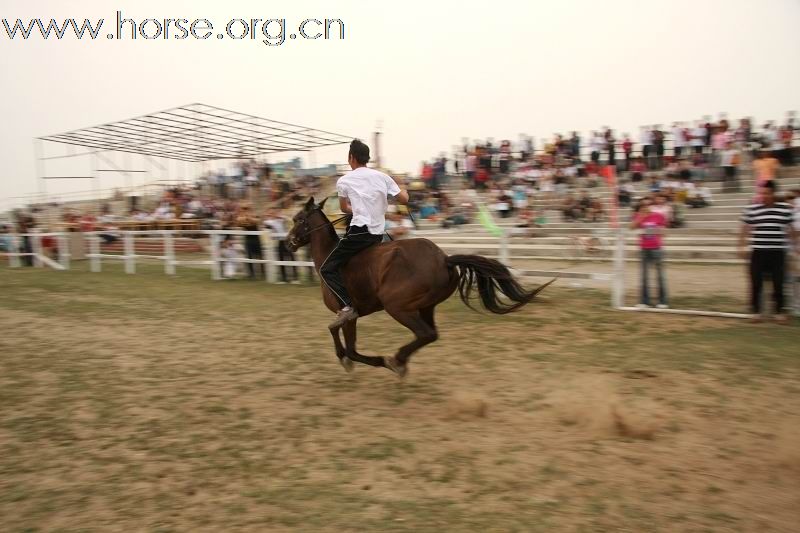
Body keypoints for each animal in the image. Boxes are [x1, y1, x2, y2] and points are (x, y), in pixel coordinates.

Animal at [284, 197, 552, 376]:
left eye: (298, 219)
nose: (288, 243)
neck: (330, 257)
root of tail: (443, 259)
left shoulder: (348, 314)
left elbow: (341, 339)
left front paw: (358, 360)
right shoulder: (354, 316)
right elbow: (344, 340)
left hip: (397, 306)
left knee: (424, 334)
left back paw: (396, 361)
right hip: (425, 306)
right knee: (430, 334)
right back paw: (400, 361)